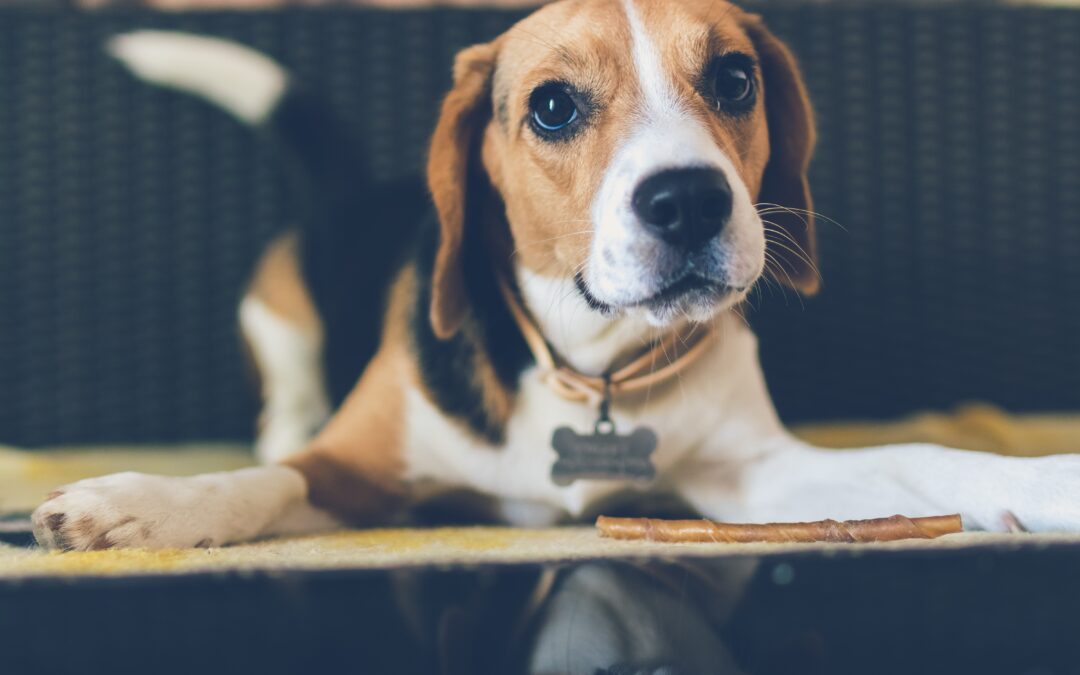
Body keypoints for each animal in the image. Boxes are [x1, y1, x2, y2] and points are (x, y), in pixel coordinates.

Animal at [27, 0, 1080, 550]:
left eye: (735, 78)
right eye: (552, 107)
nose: (689, 201)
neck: (589, 363)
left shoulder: (757, 474)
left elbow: (928, 458)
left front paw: (1048, 480)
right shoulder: (351, 466)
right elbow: (258, 482)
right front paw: (139, 504)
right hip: (276, 313)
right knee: (285, 408)